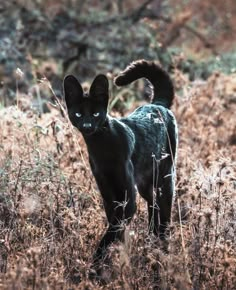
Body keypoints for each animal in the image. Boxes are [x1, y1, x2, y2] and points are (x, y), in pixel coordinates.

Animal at [62, 60, 177, 268]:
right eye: (78, 114)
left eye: (95, 113)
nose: (87, 126)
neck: (101, 148)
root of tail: (157, 104)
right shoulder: (108, 195)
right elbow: (116, 228)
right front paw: (114, 259)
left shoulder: (127, 199)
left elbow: (113, 230)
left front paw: (96, 264)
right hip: (145, 184)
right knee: (153, 207)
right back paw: (152, 241)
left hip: (165, 179)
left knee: (164, 211)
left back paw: (162, 246)